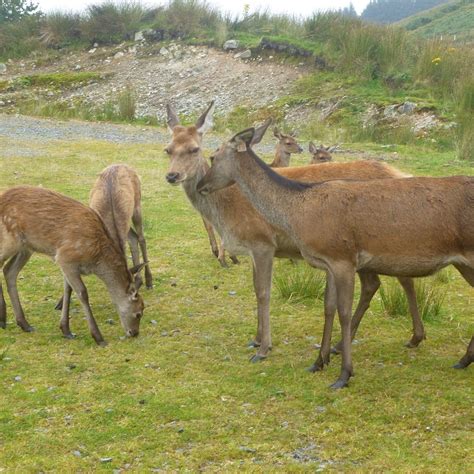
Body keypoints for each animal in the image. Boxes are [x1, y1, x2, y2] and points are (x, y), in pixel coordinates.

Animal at [0, 185, 144, 344]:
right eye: (139, 313)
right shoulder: (65, 257)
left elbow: (68, 290)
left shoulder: (68, 265)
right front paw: (98, 337)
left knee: (9, 271)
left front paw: (66, 330)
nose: (134, 333)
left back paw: (23, 324)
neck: (95, 260)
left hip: (26, 247)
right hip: (9, 240)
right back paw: (3, 319)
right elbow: (82, 293)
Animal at [165, 103, 428, 370]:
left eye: (195, 149)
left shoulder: (263, 243)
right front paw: (256, 339)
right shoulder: (253, 248)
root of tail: (401, 174)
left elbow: (263, 292)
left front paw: (264, 347)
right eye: (168, 149)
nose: (172, 176)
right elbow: (255, 287)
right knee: (383, 282)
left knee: (393, 280)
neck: (228, 209)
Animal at [196, 127, 474, 388]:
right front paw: (318, 361)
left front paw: (344, 374)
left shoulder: (343, 259)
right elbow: (328, 308)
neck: (298, 211)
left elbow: (343, 312)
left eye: (213, 156)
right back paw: (463, 358)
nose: (200, 186)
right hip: (463, 264)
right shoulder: (327, 262)